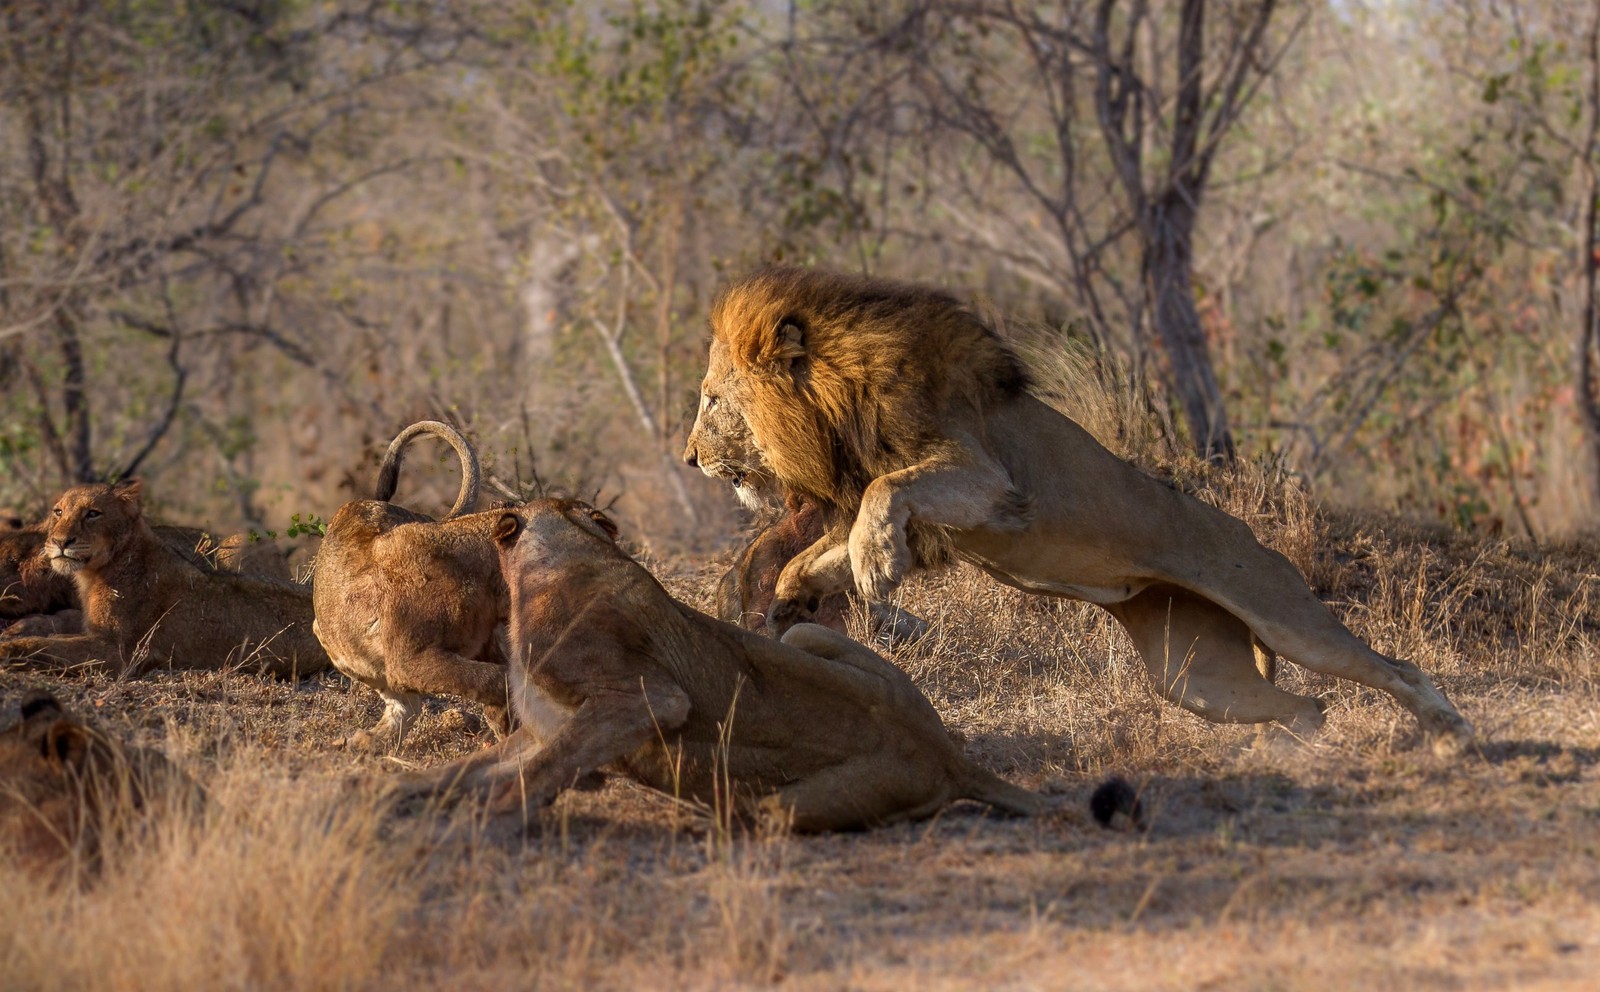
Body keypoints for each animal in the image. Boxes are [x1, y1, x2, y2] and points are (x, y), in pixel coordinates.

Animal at [0, 480, 326, 678]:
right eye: (58, 512)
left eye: (93, 513)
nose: (59, 541)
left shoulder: (122, 653)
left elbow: (48, 646)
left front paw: (7, 649)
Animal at [385, 499, 1036, 832]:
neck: (567, 552)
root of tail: (947, 756)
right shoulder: (548, 723)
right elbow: (462, 770)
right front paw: (381, 794)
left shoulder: (643, 699)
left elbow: (537, 773)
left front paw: (481, 827)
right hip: (803, 631)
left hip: (785, 804)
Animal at [684, 267, 1472, 755]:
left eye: (712, 400)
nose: (688, 458)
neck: (836, 404)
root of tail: (1244, 531)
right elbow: (822, 552)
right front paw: (795, 600)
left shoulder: (986, 480)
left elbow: (881, 500)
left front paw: (877, 569)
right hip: (1196, 679)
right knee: (1307, 705)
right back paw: (1290, 748)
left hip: (1282, 615)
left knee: (1394, 667)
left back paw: (1449, 731)